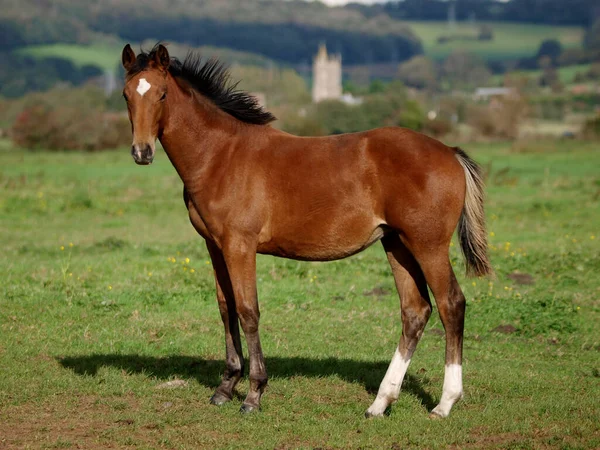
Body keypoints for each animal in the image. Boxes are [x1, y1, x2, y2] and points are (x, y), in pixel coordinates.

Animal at [120, 44, 492, 416]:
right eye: (126, 95)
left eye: (162, 94)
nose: (142, 152)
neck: (221, 155)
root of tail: (450, 152)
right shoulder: (215, 245)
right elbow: (226, 308)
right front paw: (225, 388)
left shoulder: (240, 245)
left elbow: (248, 310)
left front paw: (253, 394)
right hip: (397, 244)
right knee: (415, 311)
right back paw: (380, 403)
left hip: (427, 245)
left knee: (451, 304)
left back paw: (444, 403)